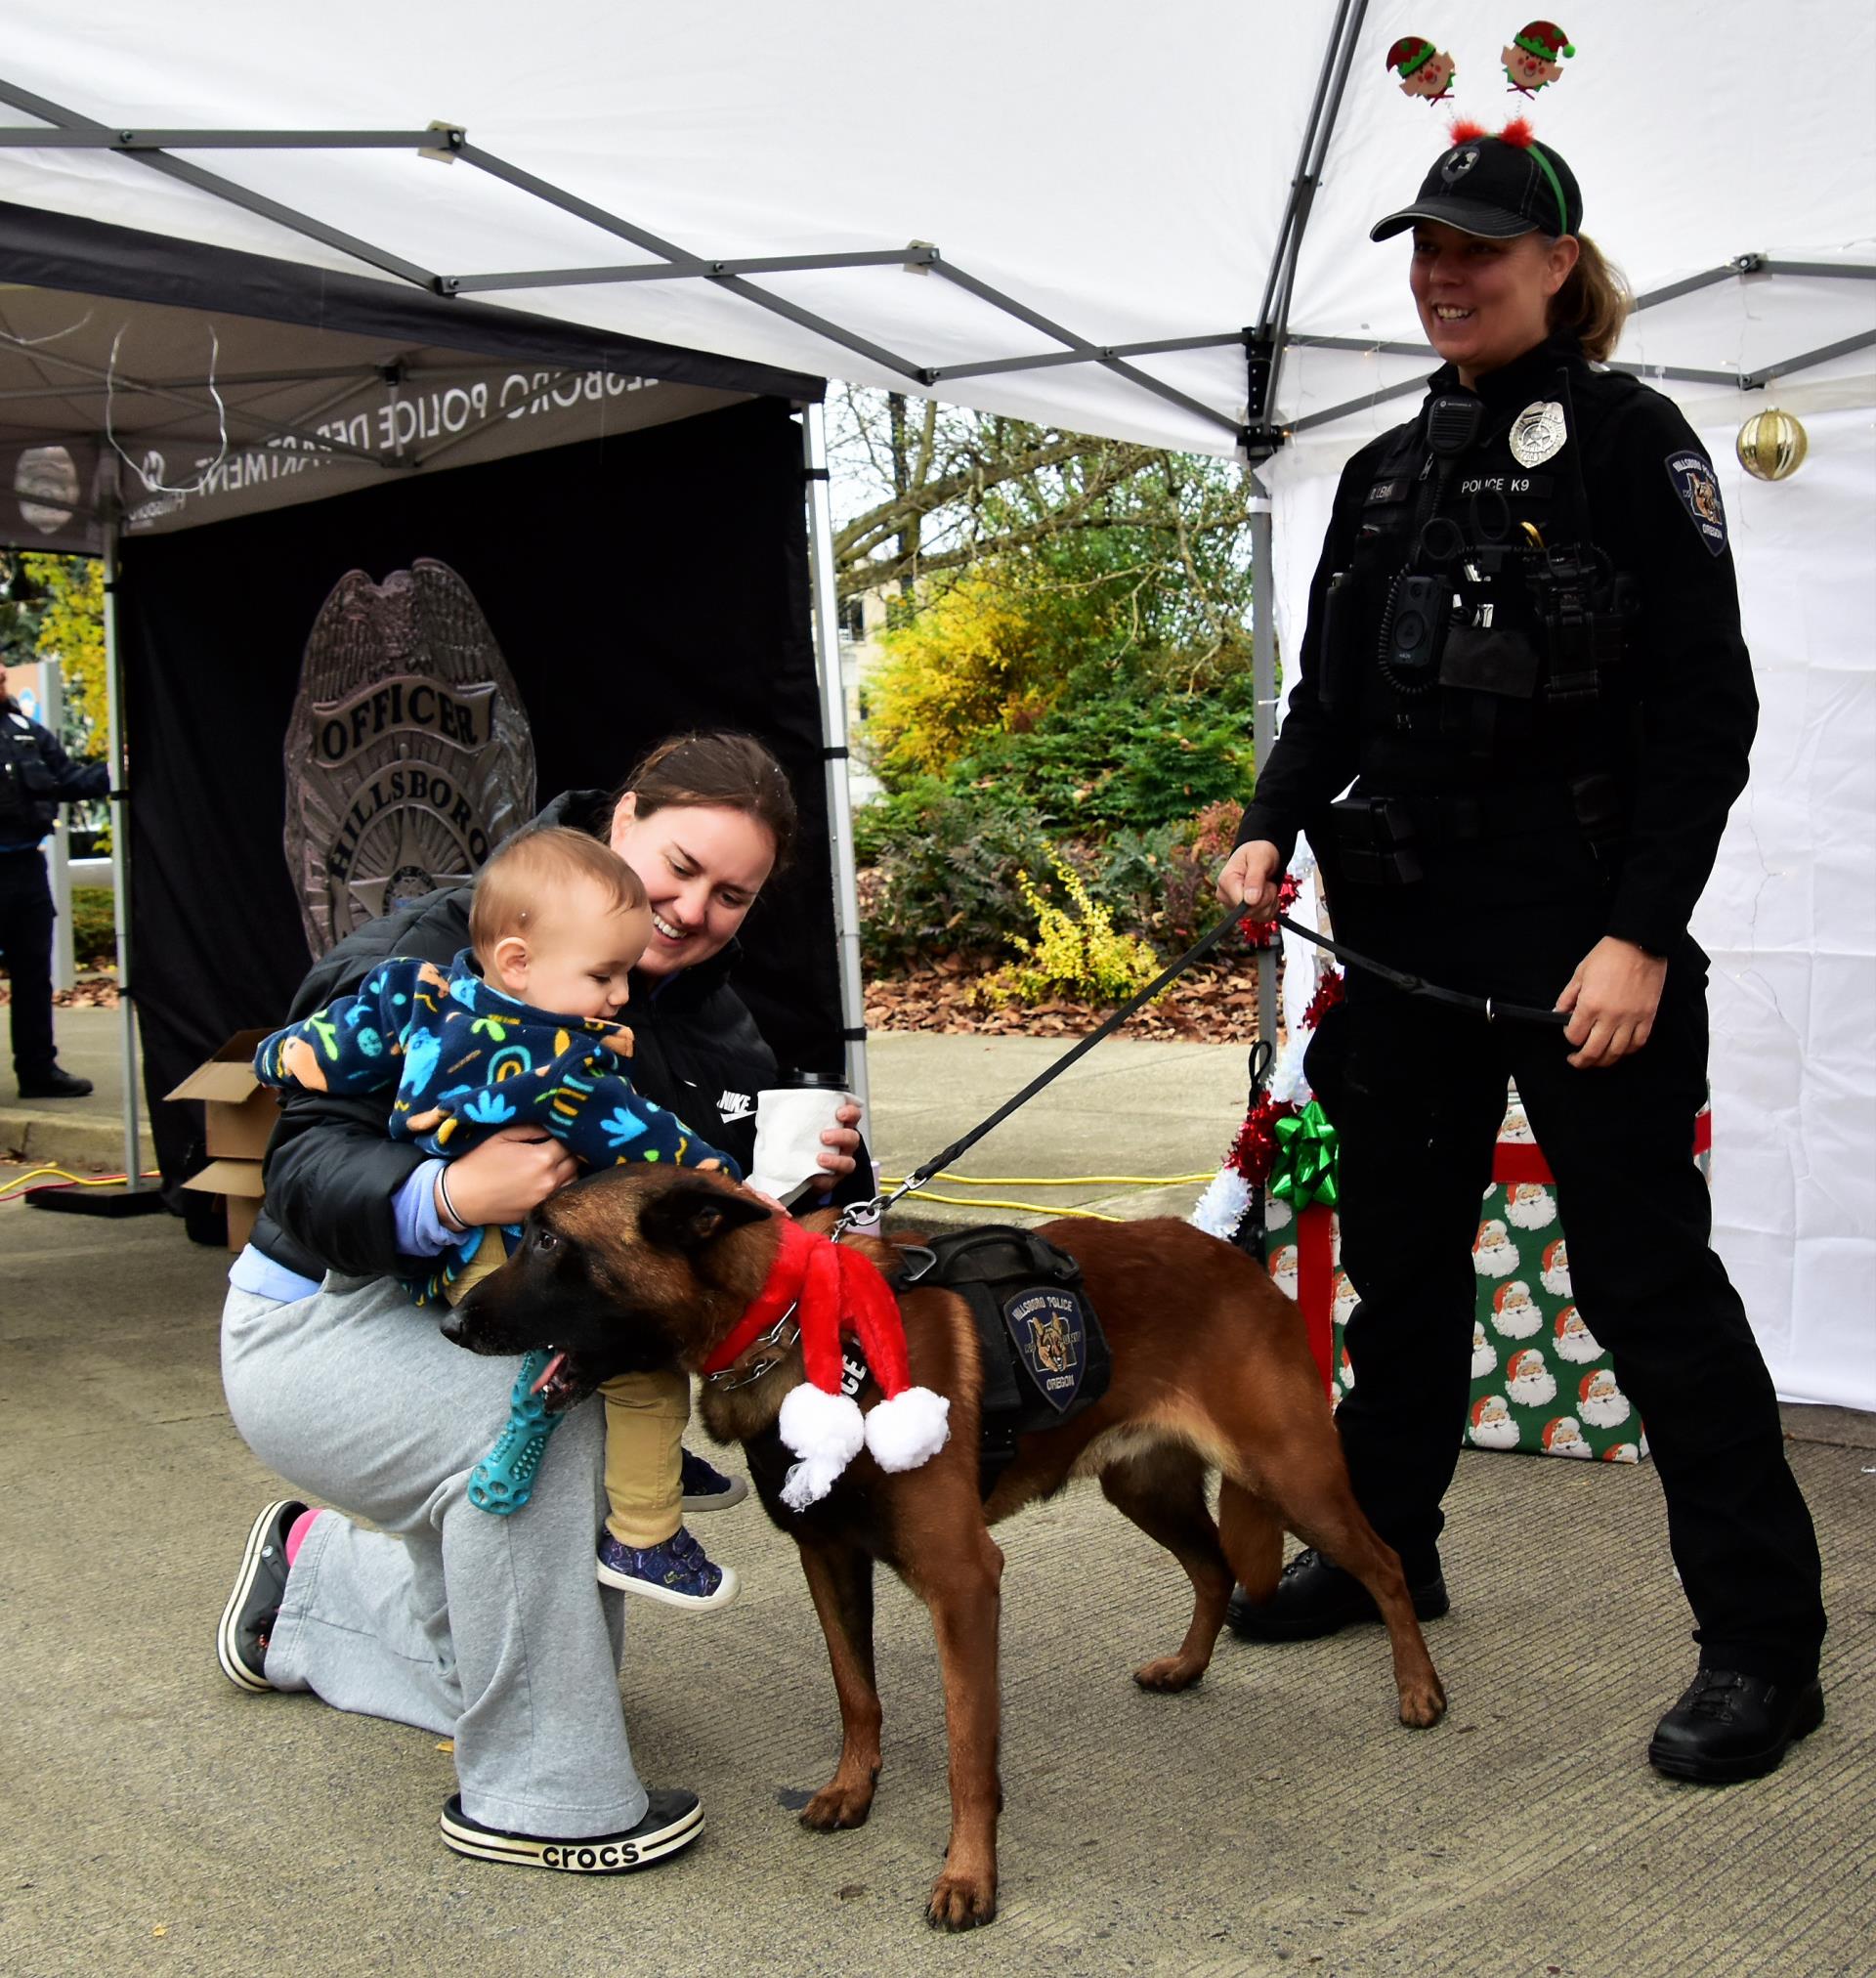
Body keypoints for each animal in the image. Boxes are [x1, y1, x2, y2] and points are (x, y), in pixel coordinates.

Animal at [443, 1171, 1446, 1930]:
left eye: (548, 1242)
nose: (451, 1324)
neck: (792, 1317)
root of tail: (1237, 1259)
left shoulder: (963, 1584)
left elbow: (970, 1751)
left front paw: (969, 1876)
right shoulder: (828, 1560)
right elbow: (857, 1694)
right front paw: (854, 1790)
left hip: (1293, 1475)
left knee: (1384, 1562)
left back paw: (1419, 1691)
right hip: (1144, 1488)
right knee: (1213, 1566)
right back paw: (1189, 1666)